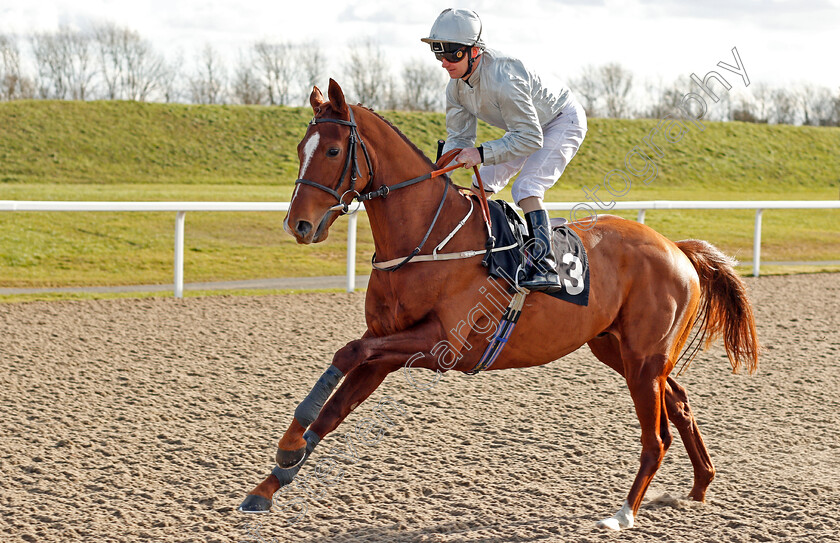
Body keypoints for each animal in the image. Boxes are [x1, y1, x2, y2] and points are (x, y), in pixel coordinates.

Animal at [238, 79, 760, 532]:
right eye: (300, 148)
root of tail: (675, 247)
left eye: (331, 150)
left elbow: (346, 353)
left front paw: (288, 445)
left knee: (656, 437)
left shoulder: (439, 343)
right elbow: (334, 406)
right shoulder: (386, 348)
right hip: (618, 350)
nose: (299, 224)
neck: (428, 237)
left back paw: (623, 513)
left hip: (643, 358)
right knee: (680, 403)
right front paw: (269, 482)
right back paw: (699, 487)